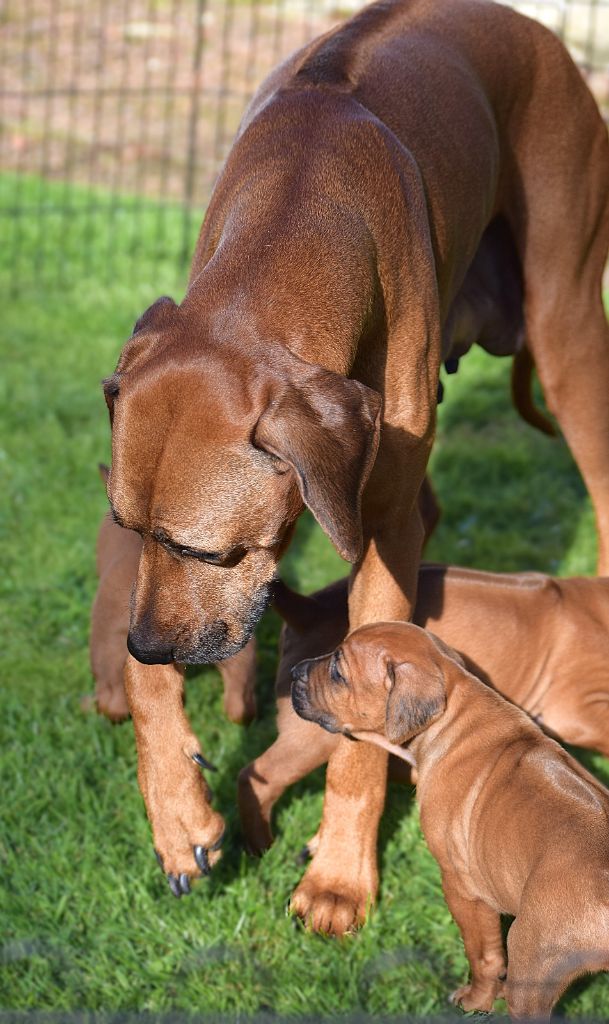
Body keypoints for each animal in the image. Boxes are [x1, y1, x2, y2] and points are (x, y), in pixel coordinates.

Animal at [239, 569, 609, 864]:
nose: (299, 673)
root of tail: (309, 610)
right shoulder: (578, 710)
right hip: (311, 739)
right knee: (255, 776)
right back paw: (262, 849)